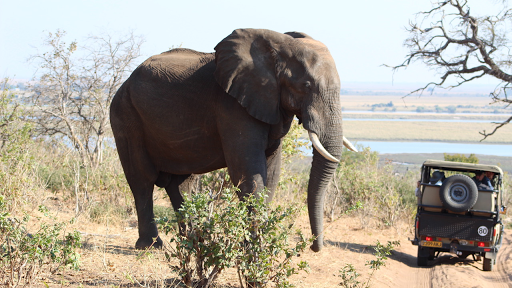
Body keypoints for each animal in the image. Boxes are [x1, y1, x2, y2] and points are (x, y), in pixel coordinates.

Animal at [109, 28, 356, 252]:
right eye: (306, 86)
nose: (314, 247)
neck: (277, 46)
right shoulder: (232, 106)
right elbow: (248, 172)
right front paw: (255, 250)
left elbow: (271, 172)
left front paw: (262, 247)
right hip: (125, 115)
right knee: (142, 180)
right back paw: (151, 246)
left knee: (181, 183)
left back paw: (192, 243)